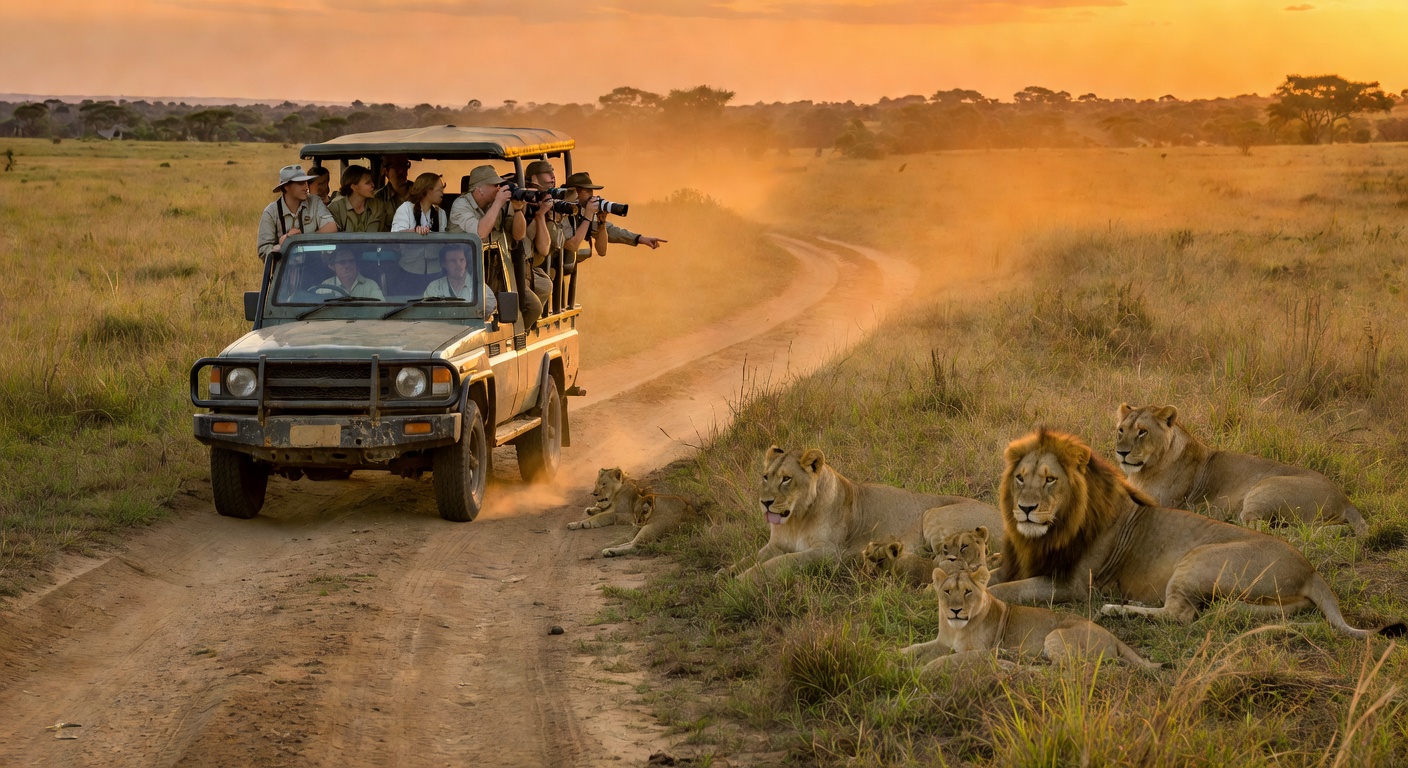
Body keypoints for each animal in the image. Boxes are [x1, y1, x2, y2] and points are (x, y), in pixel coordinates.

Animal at [728, 446, 1002, 581]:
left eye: (786, 479)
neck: (795, 519)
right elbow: (750, 558)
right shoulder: (774, 545)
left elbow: (782, 561)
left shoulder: (829, 553)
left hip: (933, 515)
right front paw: (725, 575)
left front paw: (744, 580)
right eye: (765, 477)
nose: (765, 502)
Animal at [901, 563, 1162, 673]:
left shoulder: (978, 650)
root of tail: (1113, 636)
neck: (956, 628)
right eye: (947, 591)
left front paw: (924, 667)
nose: (955, 611)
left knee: (1064, 670)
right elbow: (914, 647)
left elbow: (947, 659)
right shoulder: (941, 641)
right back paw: (1010, 658)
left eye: (967, 591)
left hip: (1056, 634)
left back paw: (1008, 664)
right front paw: (895, 654)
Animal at [988, 428, 1403, 639]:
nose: (1025, 508)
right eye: (1020, 478)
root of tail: (1311, 569)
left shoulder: (1073, 585)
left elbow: (1009, 590)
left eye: (1050, 480)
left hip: (1199, 557)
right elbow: (990, 574)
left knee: (1181, 614)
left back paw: (1119, 609)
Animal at [1116, 404, 1366, 534]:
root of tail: (1346, 501)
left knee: (1262, 526)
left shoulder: (1162, 504)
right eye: (1121, 430)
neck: (1144, 470)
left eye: (1142, 432)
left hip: (1265, 489)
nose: (1121, 452)